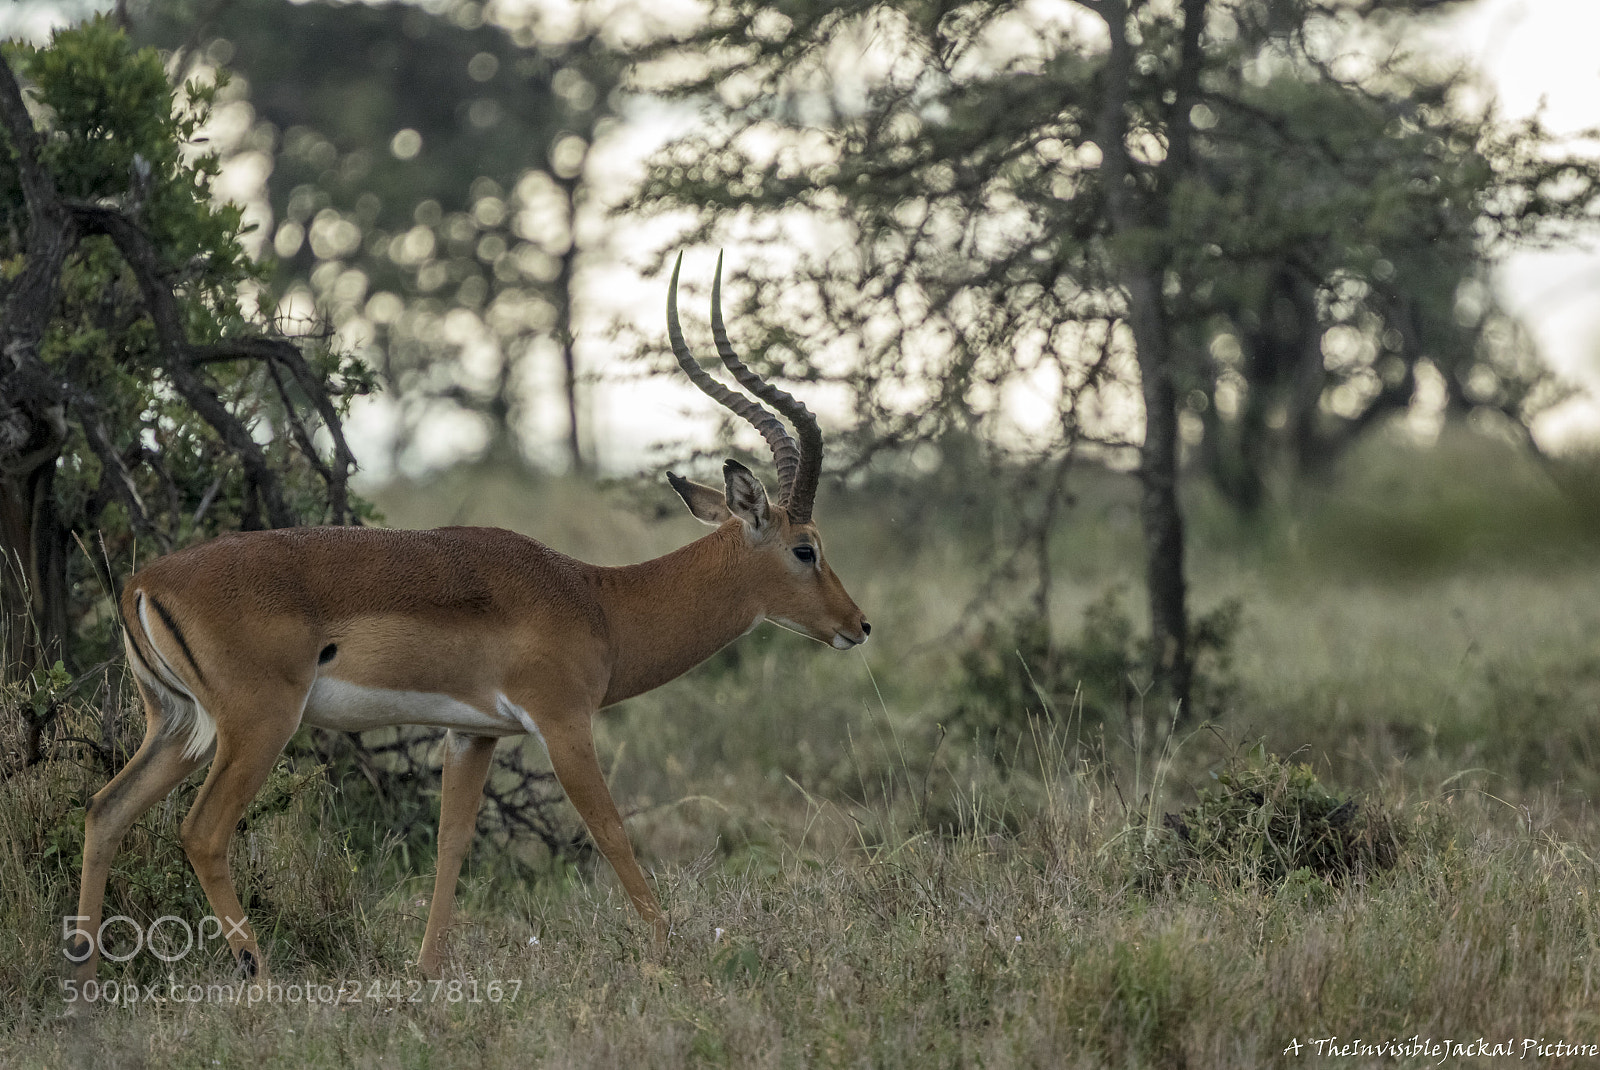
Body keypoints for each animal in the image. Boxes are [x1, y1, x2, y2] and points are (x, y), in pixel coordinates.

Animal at [66, 253, 869, 990]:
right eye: (806, 547)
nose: (859, 625)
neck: (597, 599)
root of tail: (145, 581)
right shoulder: (563, 723)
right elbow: (611, 831)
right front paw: (670, 956)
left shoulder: (472, 733)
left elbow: (452, 841)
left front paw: (427, 971)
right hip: (256, 725)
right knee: (201, 831)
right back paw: (256, 974)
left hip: (177, 725)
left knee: (105, 811)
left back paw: (84, 979)